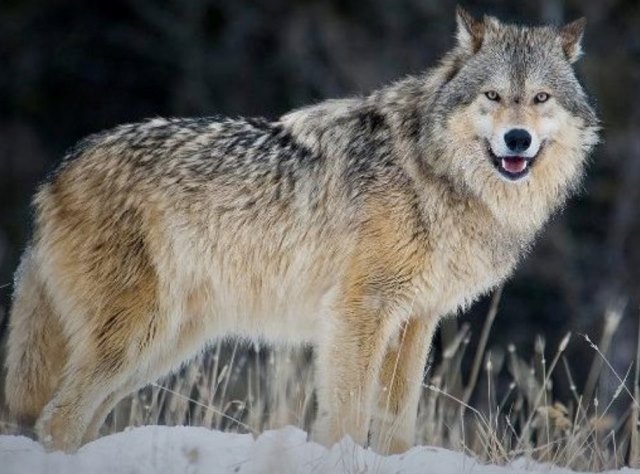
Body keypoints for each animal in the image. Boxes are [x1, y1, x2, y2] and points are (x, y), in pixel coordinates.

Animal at [3, 6, 600, 452]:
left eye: (541, 98)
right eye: (493, 96)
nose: (518, 139)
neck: (432, 171)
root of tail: (57, 172)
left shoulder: (415, 321)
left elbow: (396, 426)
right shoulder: (359, 312)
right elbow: (347, 416)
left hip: (163, 346)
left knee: (75, 420)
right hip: (138, 336)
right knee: (57, 419)